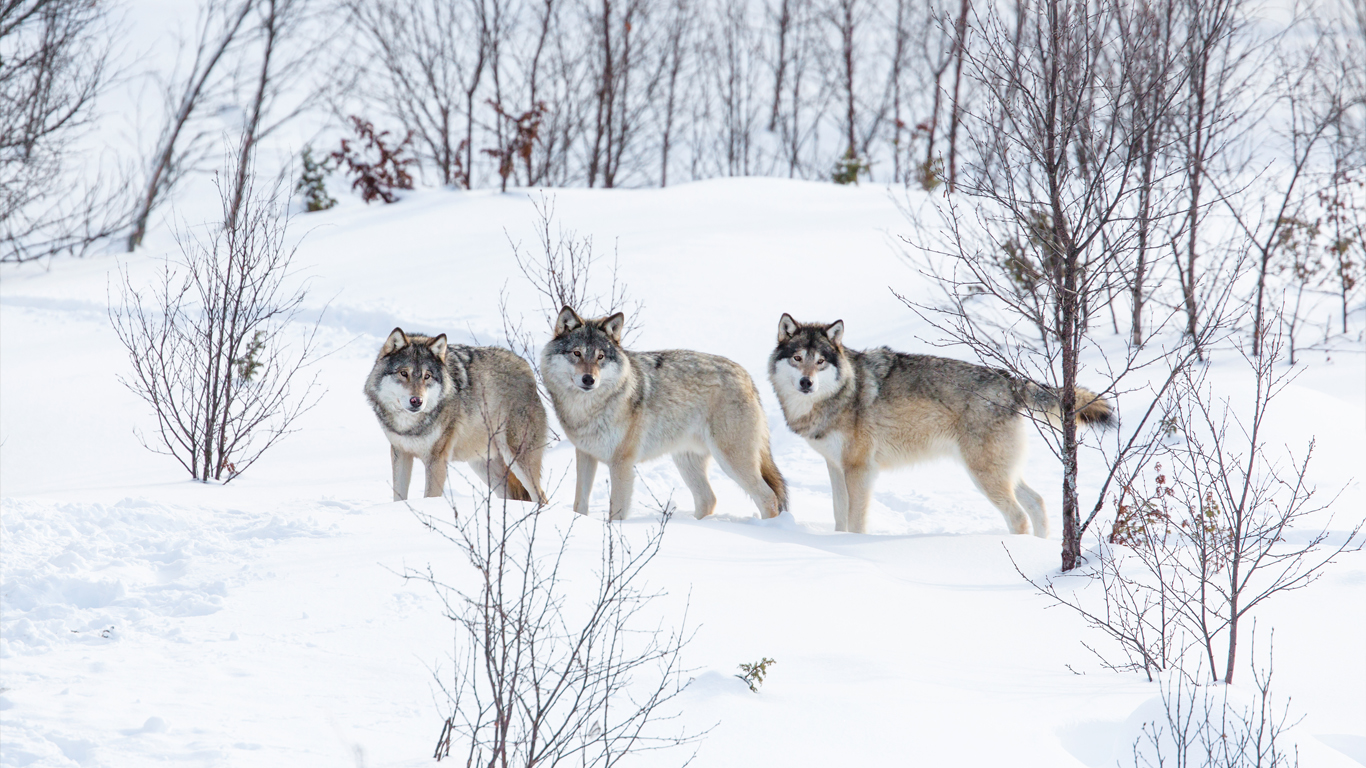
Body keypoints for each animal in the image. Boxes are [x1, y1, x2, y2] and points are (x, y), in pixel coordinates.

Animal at [365, 328, 547, 503]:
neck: (410, 426)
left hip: (516, 459)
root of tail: (527, 368)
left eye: (427, 376)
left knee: (541, 497)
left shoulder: (437, 459)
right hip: (484, 467)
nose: (416, 401)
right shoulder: (400, 453)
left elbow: (430, 497)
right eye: (404, 373)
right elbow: (399, 497)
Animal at [541, 307, 788, 521]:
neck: (587, 409)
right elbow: (579, 504)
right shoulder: (585, 455)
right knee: (709, 499)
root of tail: (746, 375)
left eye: (601, 357)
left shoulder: (621, 463)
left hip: (731, 460)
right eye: (577, 353)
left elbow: (616, 512)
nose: (589, 379)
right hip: (686, 461)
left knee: (768, 497)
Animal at [768, 314, 1112, 536]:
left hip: (984, 475)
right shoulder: (835, 467)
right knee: (1038, 503)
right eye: (797, 358)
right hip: (1001, 471)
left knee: (1018, 517)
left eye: (820, 361)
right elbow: (839, 516)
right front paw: (838, 544)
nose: (806, 383)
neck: (840, 394)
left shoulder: (860, 470)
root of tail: (1011, 381)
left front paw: (852, 546)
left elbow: (855, 520)